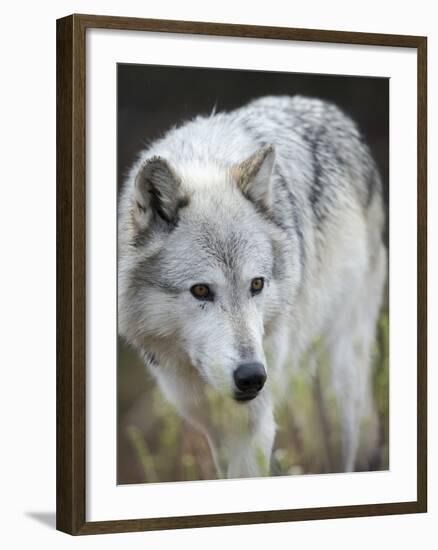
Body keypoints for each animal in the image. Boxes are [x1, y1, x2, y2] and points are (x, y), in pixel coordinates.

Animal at [117, 97, 386, 480]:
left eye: (256, 284)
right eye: (201, 291)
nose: (252, 377)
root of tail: (328, 109)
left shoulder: (253, 427)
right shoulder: (214, 427)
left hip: (339, 390)